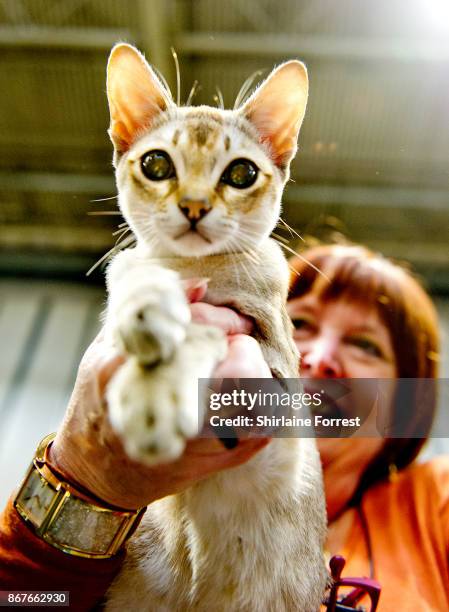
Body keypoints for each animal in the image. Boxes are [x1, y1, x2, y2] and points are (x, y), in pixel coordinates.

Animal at [101, 44, 326, 612]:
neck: (193, 271)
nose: (195, 207)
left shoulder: (279, 404)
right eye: (157, 164)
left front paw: (155, 400)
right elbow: (137, 276)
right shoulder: (131, 272)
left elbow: (208, 335)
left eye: (241, 173)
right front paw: (148, 310)